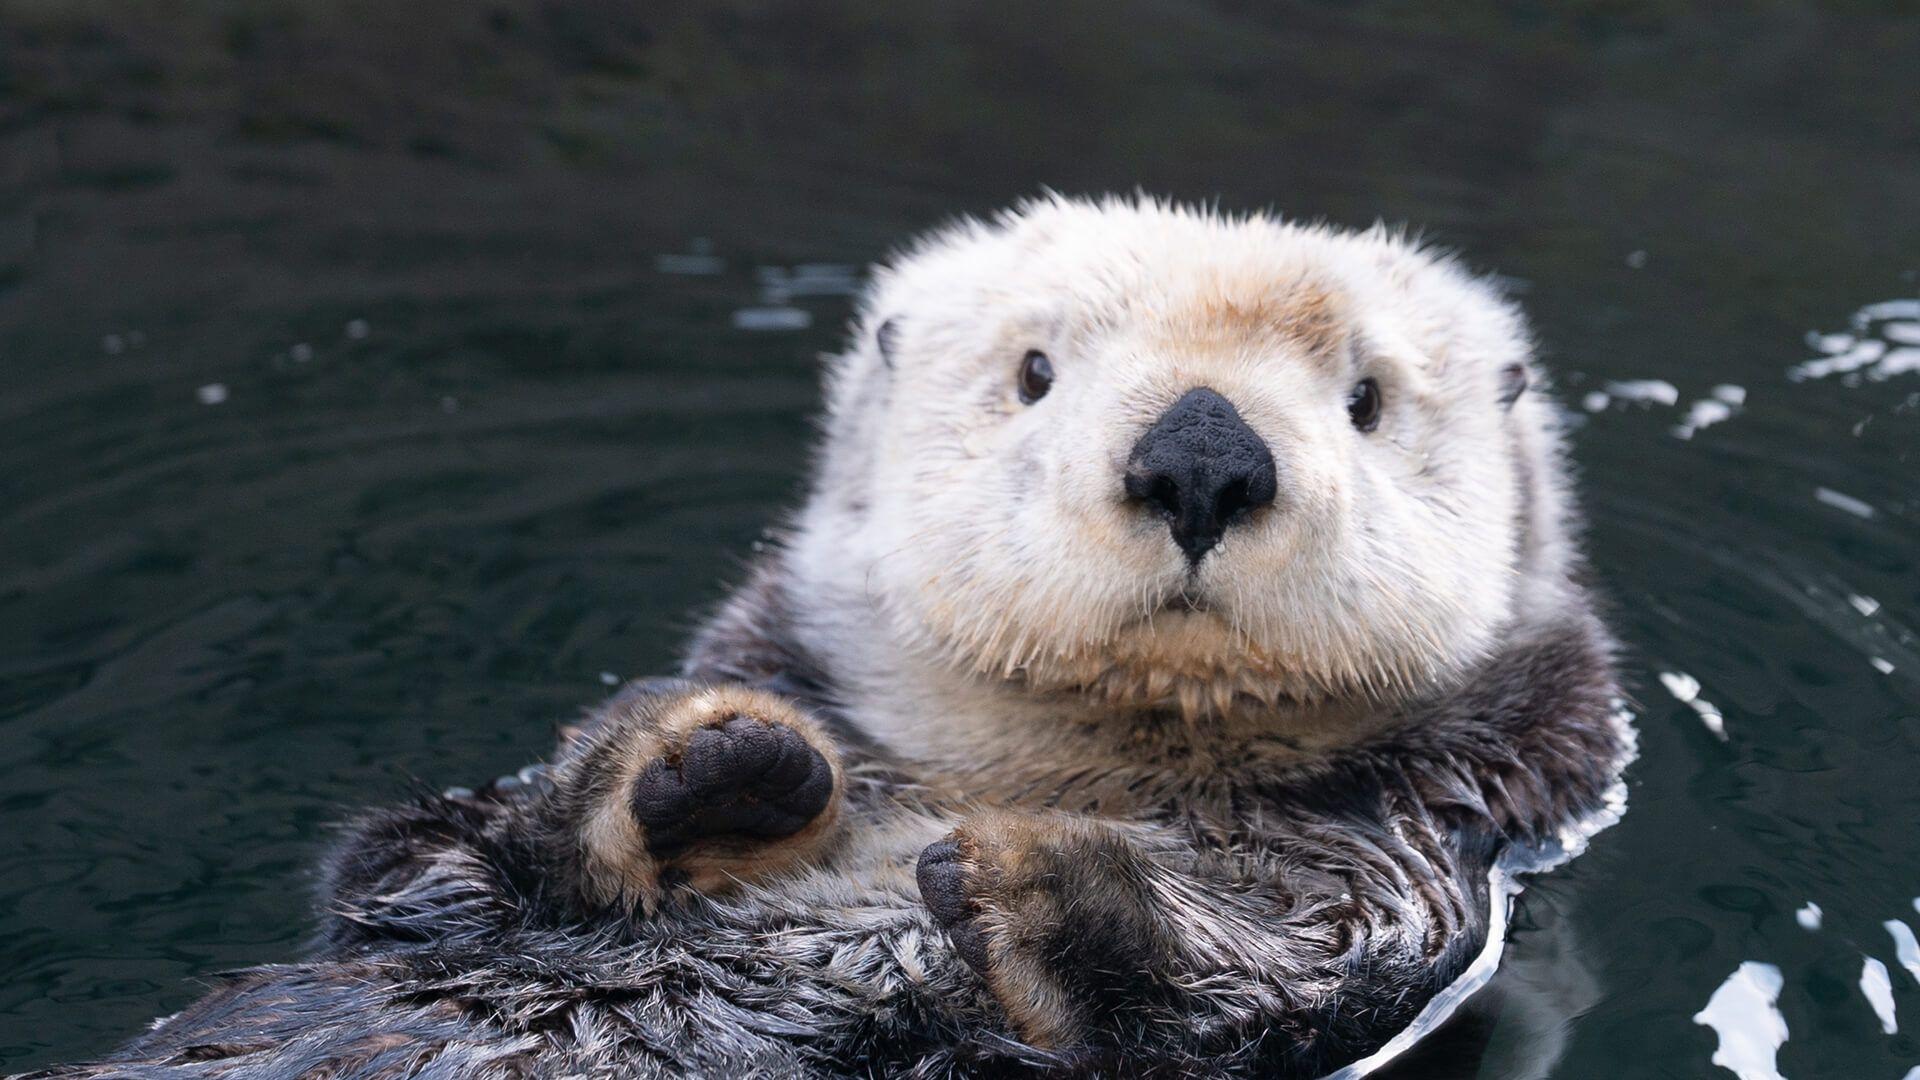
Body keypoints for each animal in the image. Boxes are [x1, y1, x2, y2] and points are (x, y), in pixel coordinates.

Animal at [27, 197, 1632, 1078]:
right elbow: (423, 864)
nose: (1201, 456)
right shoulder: (426, 892)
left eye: (1365, 399)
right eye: (1036, 371)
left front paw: (1037, 885)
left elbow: (1264, 984)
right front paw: (708, 763)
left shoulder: (1400, 872)